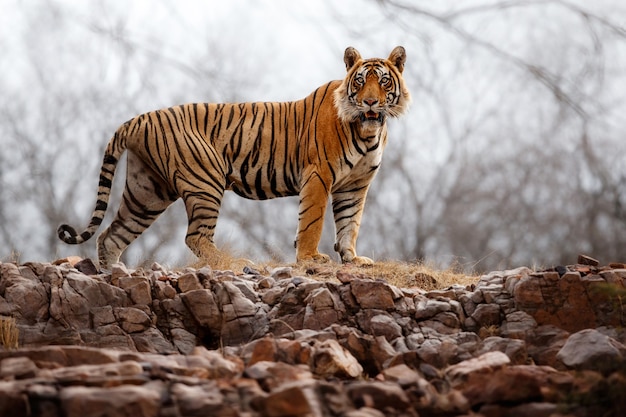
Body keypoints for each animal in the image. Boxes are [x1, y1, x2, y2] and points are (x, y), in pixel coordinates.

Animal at [57, 46, 410, 270]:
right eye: (361, 81)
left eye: (384, 81)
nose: (370, 102)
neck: (369, 131)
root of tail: (137, 120)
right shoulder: (319, 175)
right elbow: (313, 221)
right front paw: (311, 258)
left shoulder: (355, 185)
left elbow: (350, 223)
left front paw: (352, 259)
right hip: (205, 181)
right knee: (195, 236)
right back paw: (236, 263)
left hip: (147, 193)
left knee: (111, 235)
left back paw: (113, 274)